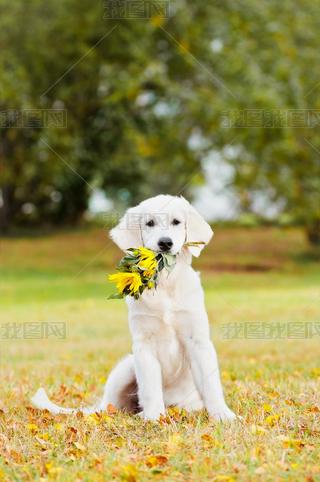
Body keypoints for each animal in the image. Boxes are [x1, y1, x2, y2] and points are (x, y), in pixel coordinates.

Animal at [32, 196, 236, 422]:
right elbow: (150, 387)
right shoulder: (143, 344)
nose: (165, 243)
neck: (164, 283)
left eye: (176, 222)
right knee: (111, 406)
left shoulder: (198, 341)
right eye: (150, 223)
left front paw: (222, 415)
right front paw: (155, 418)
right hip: (126, 368)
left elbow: (211, 385)